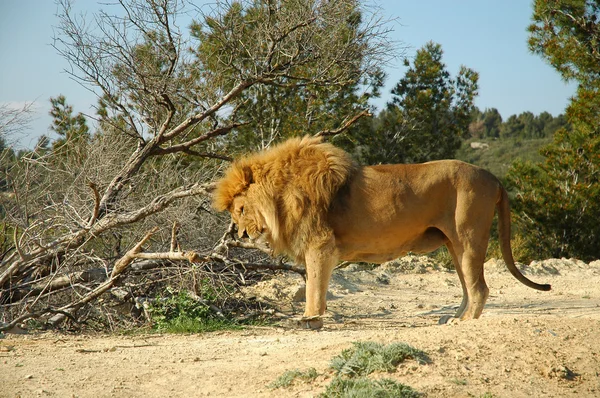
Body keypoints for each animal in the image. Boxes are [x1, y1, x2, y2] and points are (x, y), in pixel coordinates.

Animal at [213, 135, 552, 328]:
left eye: (239, 209)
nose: (240, 236)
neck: (281, 194)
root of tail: (493, 177)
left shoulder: (320, 245)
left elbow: (314, 287)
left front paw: (310, 318)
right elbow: (317, 286)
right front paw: (316, 318)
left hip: (468, 238)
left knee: (479, 287)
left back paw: (464, 322)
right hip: (454, 245)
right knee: (469, 287)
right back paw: (453, 318)